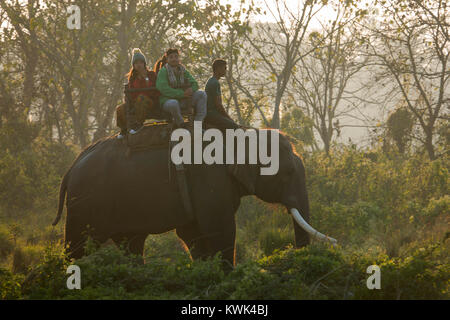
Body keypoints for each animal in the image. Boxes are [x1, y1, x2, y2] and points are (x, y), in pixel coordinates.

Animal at [51, 125, 334, 268]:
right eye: (288, 173)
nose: (295, 258)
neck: (239, 135)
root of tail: (70, 169)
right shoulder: (209, 178)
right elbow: (219, 229)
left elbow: (193, 233)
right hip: (86, 203)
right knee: (78, 246)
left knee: (131, 243)